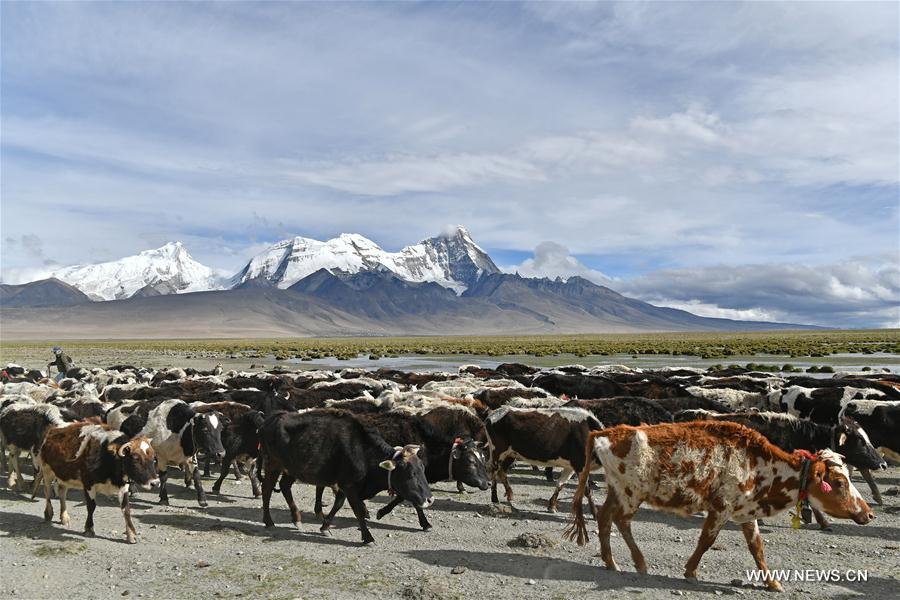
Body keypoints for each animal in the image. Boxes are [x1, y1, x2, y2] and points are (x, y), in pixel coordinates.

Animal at [258, 408, 434, 544]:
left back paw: (296, 519)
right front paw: (368, 537)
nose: (430, 499)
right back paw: (269, 521)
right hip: (273, 464)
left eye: (422, 470)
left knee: (284, 486)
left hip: (293, 468)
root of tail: (272, 418)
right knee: (267, 489)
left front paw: (325, 527)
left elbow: (338, 504)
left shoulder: (344, 485)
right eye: (410, 474)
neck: (362, 452)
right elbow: (358, 510)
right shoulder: (349, 486)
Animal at [568, 420, 872, 592]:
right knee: (621, 521)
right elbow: (706, 540)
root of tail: (607, 432)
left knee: (605, 518)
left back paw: (611, 561)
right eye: (839, 482)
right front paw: (691, 572)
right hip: (631, 493)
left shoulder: (746, 512)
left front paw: (772, 583)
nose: (868, 513)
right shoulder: (720, 509)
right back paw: (639, 563)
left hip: (617, 490)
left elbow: (757, 548)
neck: (760, 465)